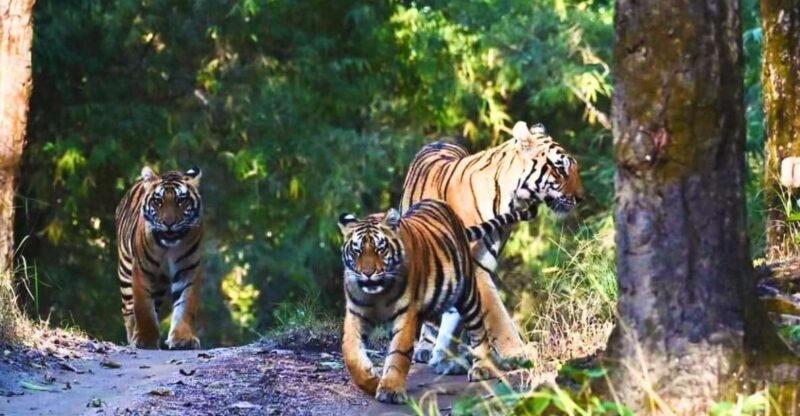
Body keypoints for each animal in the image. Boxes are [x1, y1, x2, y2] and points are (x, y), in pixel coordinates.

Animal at [116, 166, 204, 350]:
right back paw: (132, 337)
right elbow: (143, 308)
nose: (168, 223)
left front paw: (183, 339)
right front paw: (145, 340)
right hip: (125, 272)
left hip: (159, 283)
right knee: (129, 310)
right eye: (158, 201)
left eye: (181, 201)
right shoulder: (142, 270)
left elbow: (186, 304)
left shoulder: (189, 270)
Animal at [339, 199, 535, 404]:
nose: (367, 273)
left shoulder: (406, 315)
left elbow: (398, 354)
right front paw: (372, 382)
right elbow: (351, 353)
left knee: (477, 330)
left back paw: (481, 367)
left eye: (380, 249)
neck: (378, 293)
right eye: (357, 251)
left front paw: (390, 389)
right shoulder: (355, 313)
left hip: (467, 293)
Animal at [400, 121, 584, 373]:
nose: (581, 198)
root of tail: (439, 140)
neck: (511, 200)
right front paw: (518, 353)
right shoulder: (475, 266)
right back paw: (426, 348)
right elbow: (497, 315)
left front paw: (450, 358)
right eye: (560, 169)